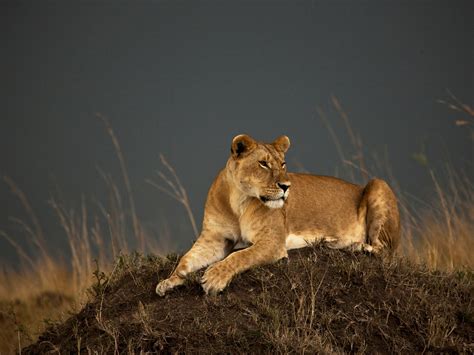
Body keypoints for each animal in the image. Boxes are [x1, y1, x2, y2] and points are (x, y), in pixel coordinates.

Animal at [156, 135, 400, 296]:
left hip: (378, 183)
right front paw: (169, 281)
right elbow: (186, 259)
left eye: (283, 164)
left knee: (385, 251)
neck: (238, 199)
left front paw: (215, 277)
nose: (286, 186)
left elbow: (240, 256)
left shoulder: (272, 242)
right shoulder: (214, 239)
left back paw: (351, 245)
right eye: (263, 164)